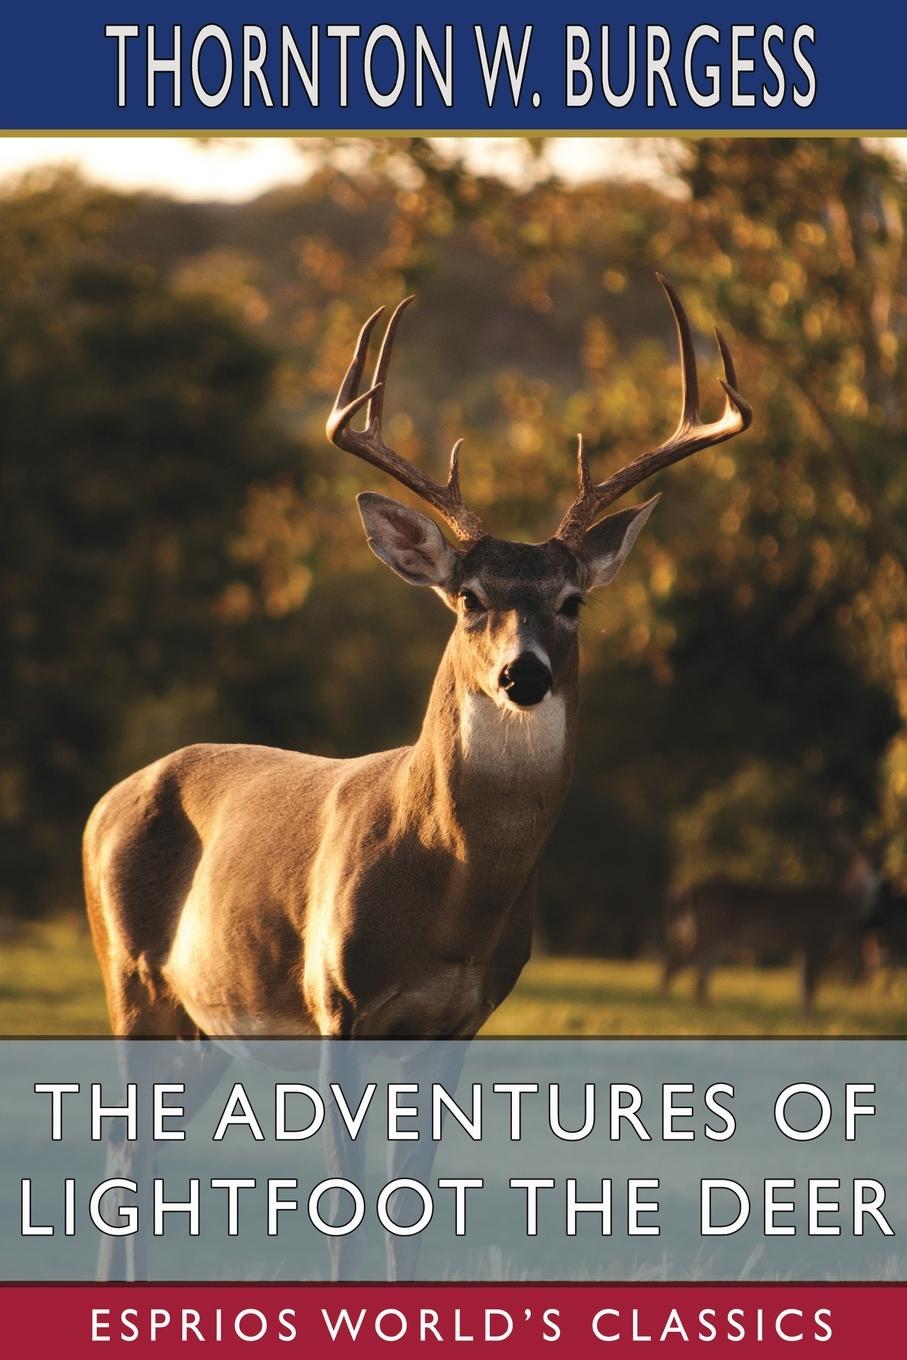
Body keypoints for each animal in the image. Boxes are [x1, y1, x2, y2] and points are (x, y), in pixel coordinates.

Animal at [83, 276, 751, 1280]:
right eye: (469, 599)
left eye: (571, 601)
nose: (523, 674)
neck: (449, 895)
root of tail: (107, 800)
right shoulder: (335, 1004)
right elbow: (344, 1207)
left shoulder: (456, 1026)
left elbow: (408, 1203)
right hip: (129, 974)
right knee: (122, 1151)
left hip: (208, 1025)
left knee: (145, 1153)